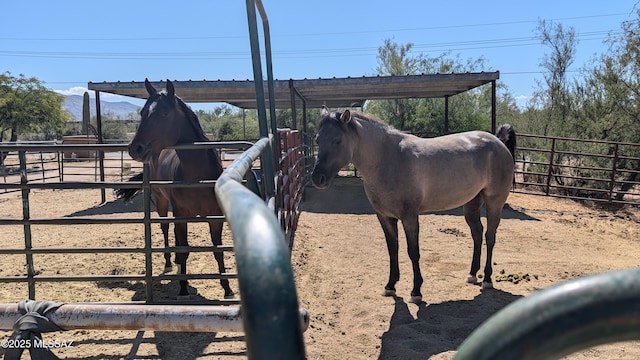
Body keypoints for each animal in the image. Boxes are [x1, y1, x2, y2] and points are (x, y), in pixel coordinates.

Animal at [119, 79, 232, 298]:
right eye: (142, 112)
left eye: (164, 113)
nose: (135, 148)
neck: (198, 177)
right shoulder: (181, 214)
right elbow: (184, 249)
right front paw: (183, 287)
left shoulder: (215, 217)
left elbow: (218, 249)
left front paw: (227, 288)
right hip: (161, 202)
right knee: (165, 229)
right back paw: (170, 263)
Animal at [310, 107, 516, 304]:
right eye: (318, 140)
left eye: (337, 140)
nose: (318, 178)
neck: (387, 159)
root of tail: (497, 142)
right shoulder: (385, 217)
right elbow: (393, 250)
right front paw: (390, 286)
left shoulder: (409, 217)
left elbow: (413, 252)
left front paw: (416, 292)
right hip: (472, 203)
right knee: (477, 234)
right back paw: (472, 274)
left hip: (494, 202)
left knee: (490, 237)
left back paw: (487, 279)